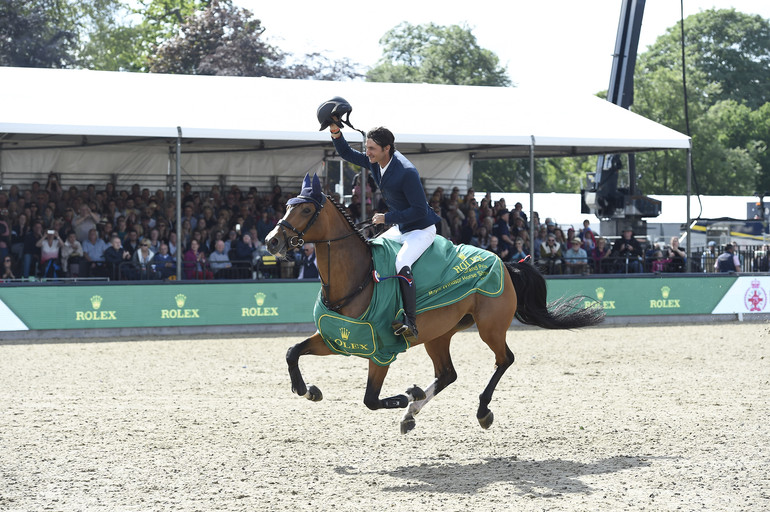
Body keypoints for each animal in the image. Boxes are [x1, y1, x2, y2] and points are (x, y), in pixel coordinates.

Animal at [268, 174, 604, 434]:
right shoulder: (335, 339)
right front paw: (308, 391)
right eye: (286, 206)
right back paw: (412, 413)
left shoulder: (380, 352)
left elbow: (370, 400)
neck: (355, 281)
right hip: (439, 334)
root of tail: (504, 262)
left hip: (490, 328)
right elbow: (291, 352)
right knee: (447, 374)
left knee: (504, 359)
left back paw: (479, 410)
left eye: (306, 209)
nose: (273, 241)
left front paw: (407, 396)